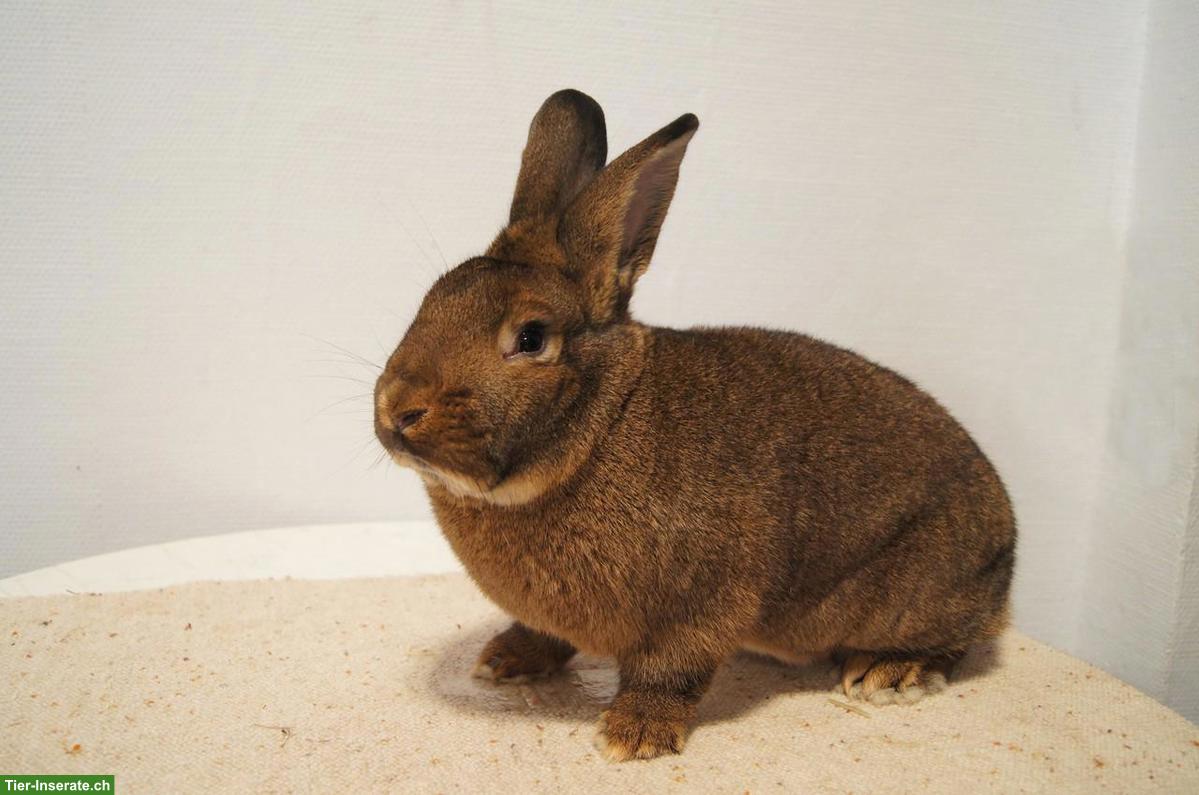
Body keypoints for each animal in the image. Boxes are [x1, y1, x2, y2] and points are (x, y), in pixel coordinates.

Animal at [373, 89, 1016, 762]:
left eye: (531, 338)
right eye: (433, 298)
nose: (397, 409)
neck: (599, 432)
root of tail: (1007, 545)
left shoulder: (702, 602)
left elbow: (670, 669)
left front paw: (633, 736)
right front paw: (506, 660)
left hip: (914, 592)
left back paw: (891, 673)